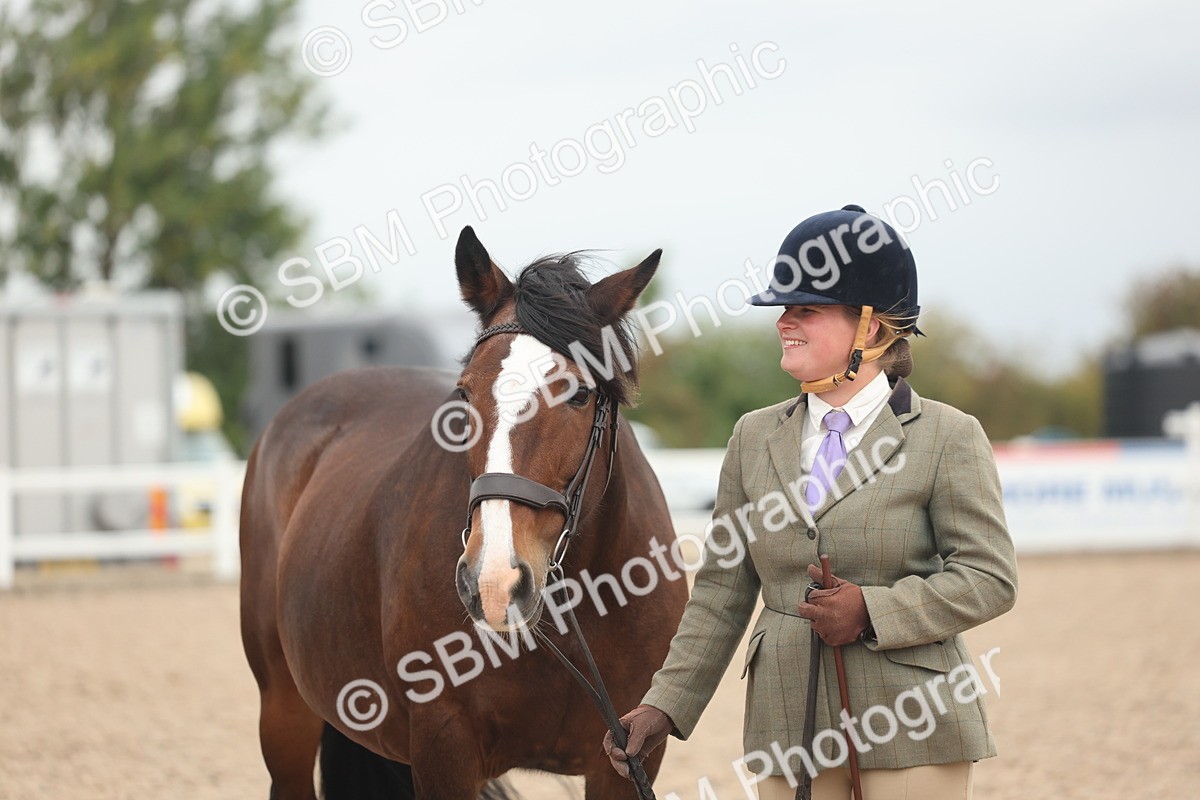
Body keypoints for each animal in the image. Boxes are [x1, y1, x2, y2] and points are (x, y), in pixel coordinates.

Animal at [239, 226, 689, 799]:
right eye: (464, 393)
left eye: (580, 394)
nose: (494, 583)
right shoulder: (444, 745)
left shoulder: (627, 758)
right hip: (283, 716)